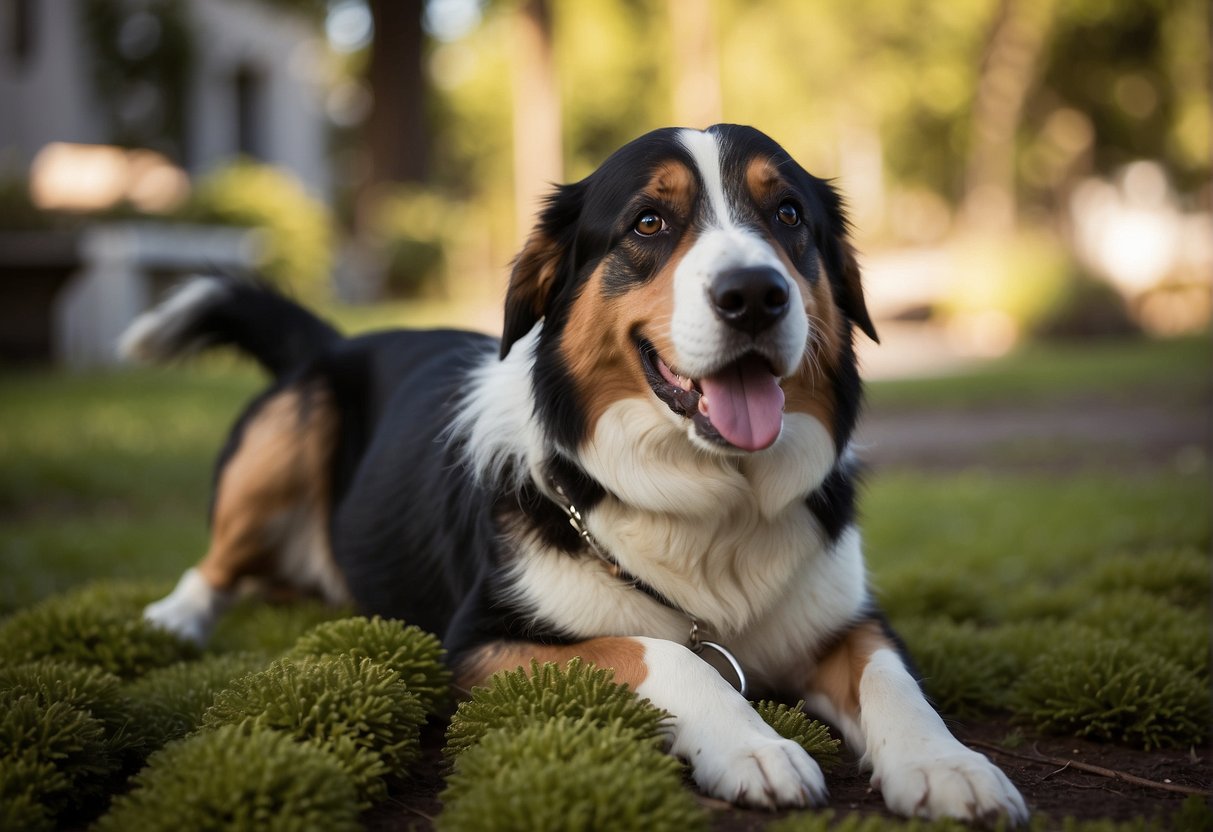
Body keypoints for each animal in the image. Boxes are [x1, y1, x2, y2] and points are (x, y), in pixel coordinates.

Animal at [123, 127, 1028, 824]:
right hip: (285, 432)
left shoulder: (848, 621)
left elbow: (895, 683)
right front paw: (753, 745)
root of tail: (337, 341)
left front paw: (948, 768)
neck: (712, 495)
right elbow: (659, 652)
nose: (754, 294)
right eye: (649, 221)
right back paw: (176, 616)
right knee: (215, 565)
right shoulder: (478, 645)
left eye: (788, 215)